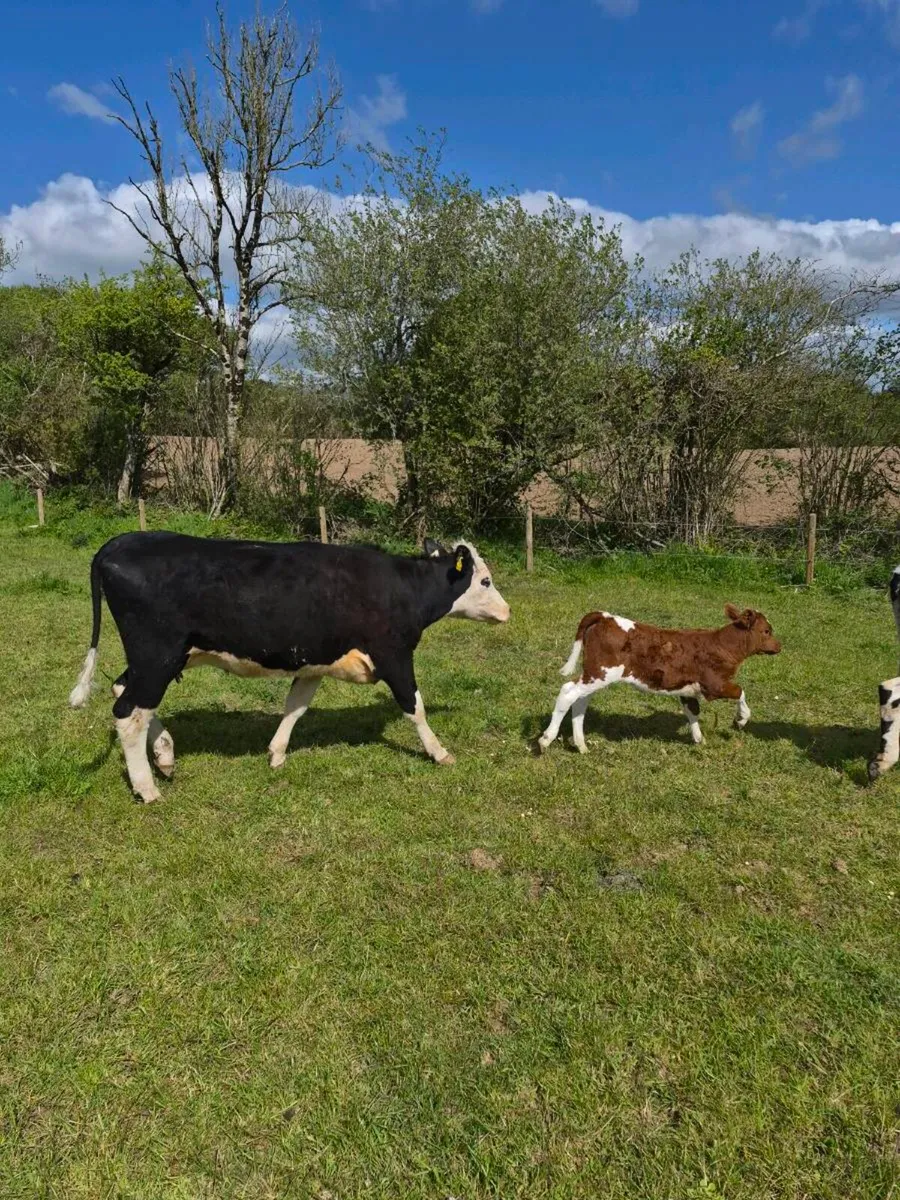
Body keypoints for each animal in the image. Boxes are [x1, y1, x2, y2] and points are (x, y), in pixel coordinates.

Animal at [68, 532, 510, 803]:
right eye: (485, 581)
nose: (508, 611)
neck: (401, 587)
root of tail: (120, 542)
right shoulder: (395, 656)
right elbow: (415, 707)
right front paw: (440, 752)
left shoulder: (313, 662)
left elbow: (295, 707)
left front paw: (276, 753)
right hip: (157, 655)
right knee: (129, 713)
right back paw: (147, 787)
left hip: (157, 659)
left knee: (124, 692)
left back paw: (164, 754)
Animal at [536, 604, 781, 754]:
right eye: (767, 631)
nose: (780, 646)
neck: (723, 645)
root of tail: (606, 616)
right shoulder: (714, 685)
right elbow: (740, 691)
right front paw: (740, 719)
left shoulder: (687, 690)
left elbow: (692, 712)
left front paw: (699, 740)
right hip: (601, 673)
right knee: (567, 692)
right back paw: (546, 739)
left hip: (594, 674)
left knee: (580, 701)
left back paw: (581, 745)